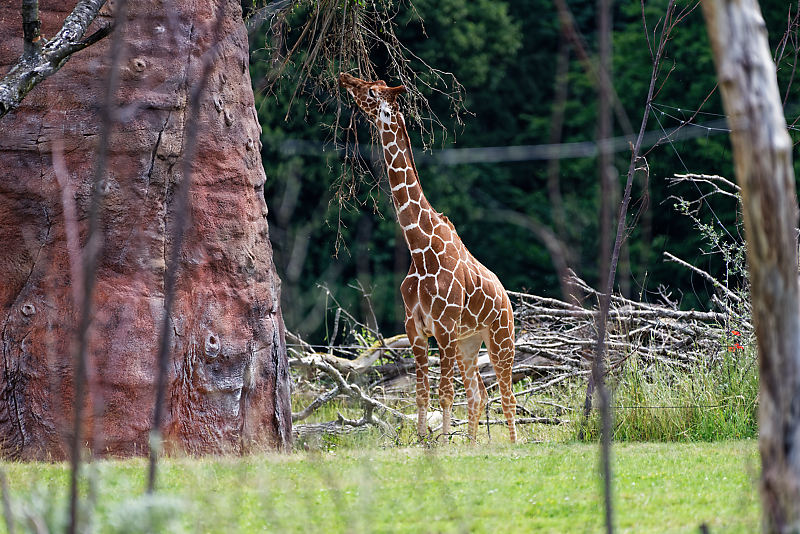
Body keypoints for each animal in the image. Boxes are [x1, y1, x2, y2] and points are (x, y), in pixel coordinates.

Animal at [340, 74, 520, 444]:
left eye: (372, 91)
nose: (345, 77)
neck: (420, 248)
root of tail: (506, 298)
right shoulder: (416, 329)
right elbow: (421, 393)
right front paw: (425, 439)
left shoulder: (445, 327)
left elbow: (444, 392)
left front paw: (441, 443)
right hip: (470, 342)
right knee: (479, 391)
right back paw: (472, 444)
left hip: (499, 337)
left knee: (505, 392)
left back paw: (512, 443)